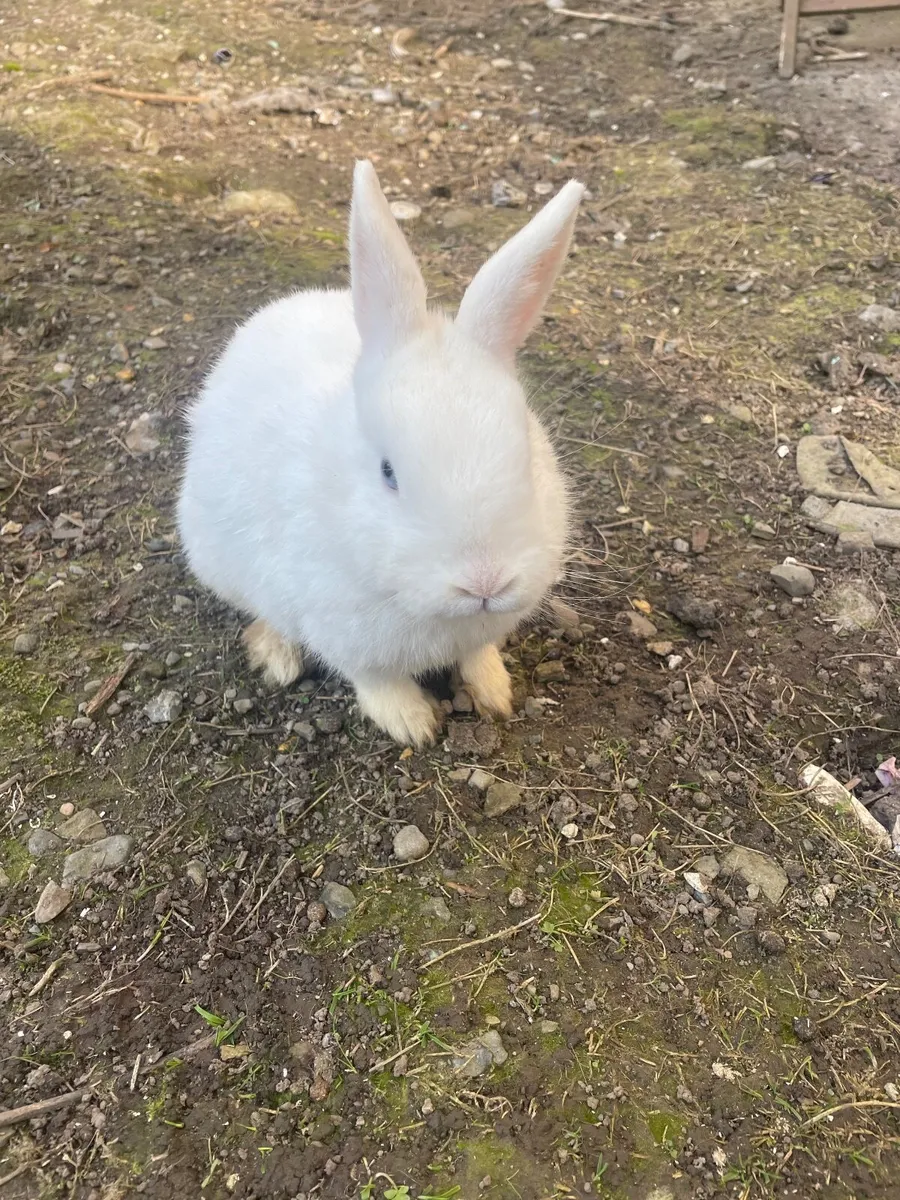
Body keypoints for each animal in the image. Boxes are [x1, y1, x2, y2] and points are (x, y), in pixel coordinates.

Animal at [177, 160, 583, 747]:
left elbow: (477, 655)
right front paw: (413, 724)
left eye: (527, 454)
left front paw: (494, 693)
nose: (485, 583)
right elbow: (375, 681)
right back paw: (276, 654)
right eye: (388, 473)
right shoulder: (342, 632)